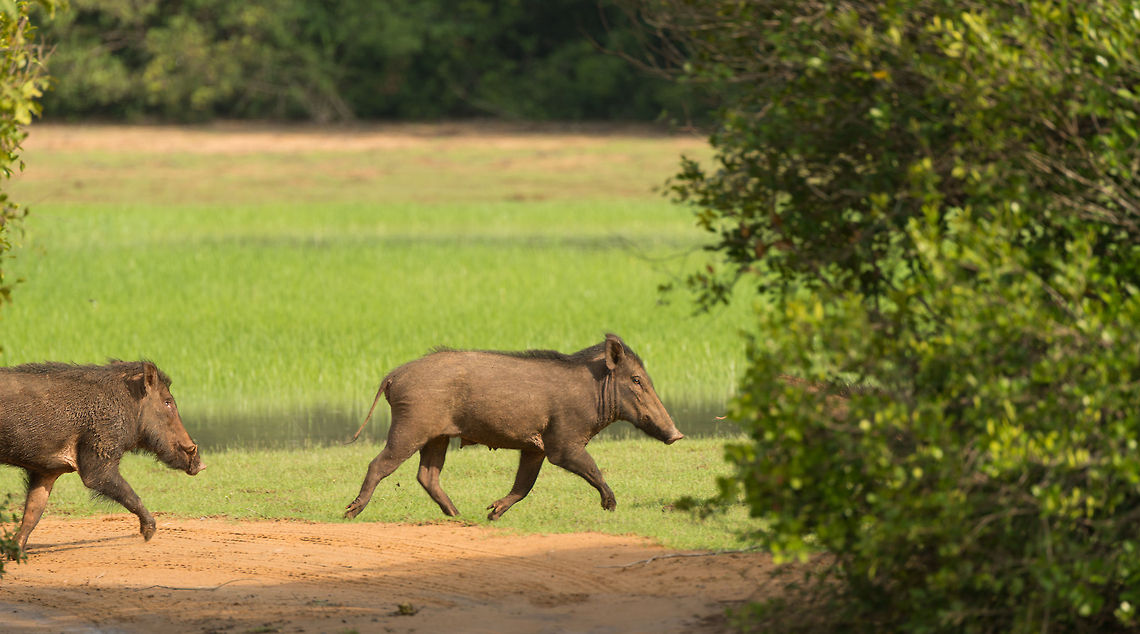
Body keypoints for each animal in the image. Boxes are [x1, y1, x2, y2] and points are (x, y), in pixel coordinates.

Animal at [0, 360, 205, 554]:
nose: (202, 465)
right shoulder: (98, 460)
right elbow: (128, 493)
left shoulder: (46, 471)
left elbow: (33, 512)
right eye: (168, 402)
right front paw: (148, 534)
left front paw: (15, 553)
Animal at [344, 334, 682, 521]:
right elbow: (592, 468)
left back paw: (459, 515)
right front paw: (610, 507)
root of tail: (392, 376)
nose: (677, 435)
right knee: (379, 464)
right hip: (410, 429)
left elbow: (524, 484)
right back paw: (349, 512)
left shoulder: (535, 448)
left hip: (437, 437)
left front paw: (492, 513)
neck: (594, 390)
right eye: (636, 379)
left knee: (427, 475)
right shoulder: (563, 444)